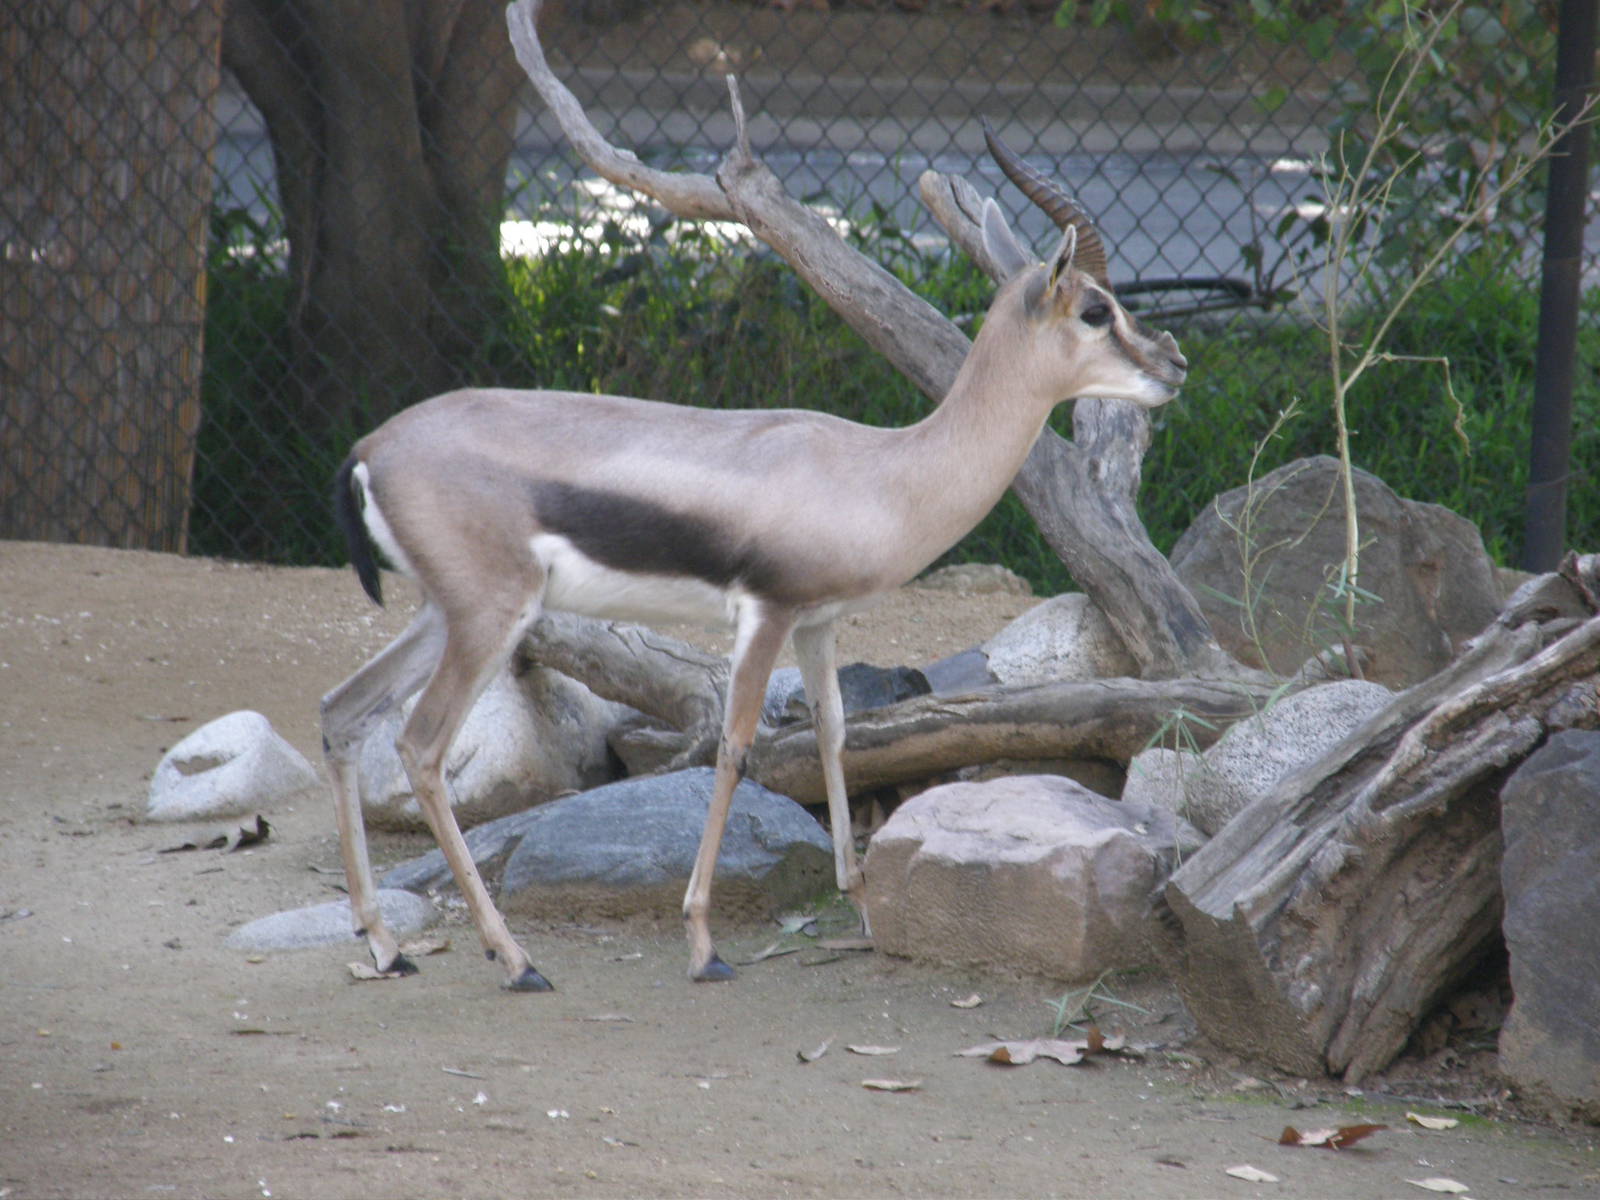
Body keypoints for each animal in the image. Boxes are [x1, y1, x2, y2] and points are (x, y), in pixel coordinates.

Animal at [319, 140, 1187, 990]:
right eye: (1097, 309)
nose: (1174, 363)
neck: (884, 473)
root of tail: (370, 447)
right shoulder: (767, 614)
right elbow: (738, 750)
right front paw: (705, 945)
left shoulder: (819, 624)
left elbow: (836, 732)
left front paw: (860, 902)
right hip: (491, 617)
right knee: (421, 748)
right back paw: (516, 959)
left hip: (447, 615)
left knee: (342, 710)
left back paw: (386, 946)